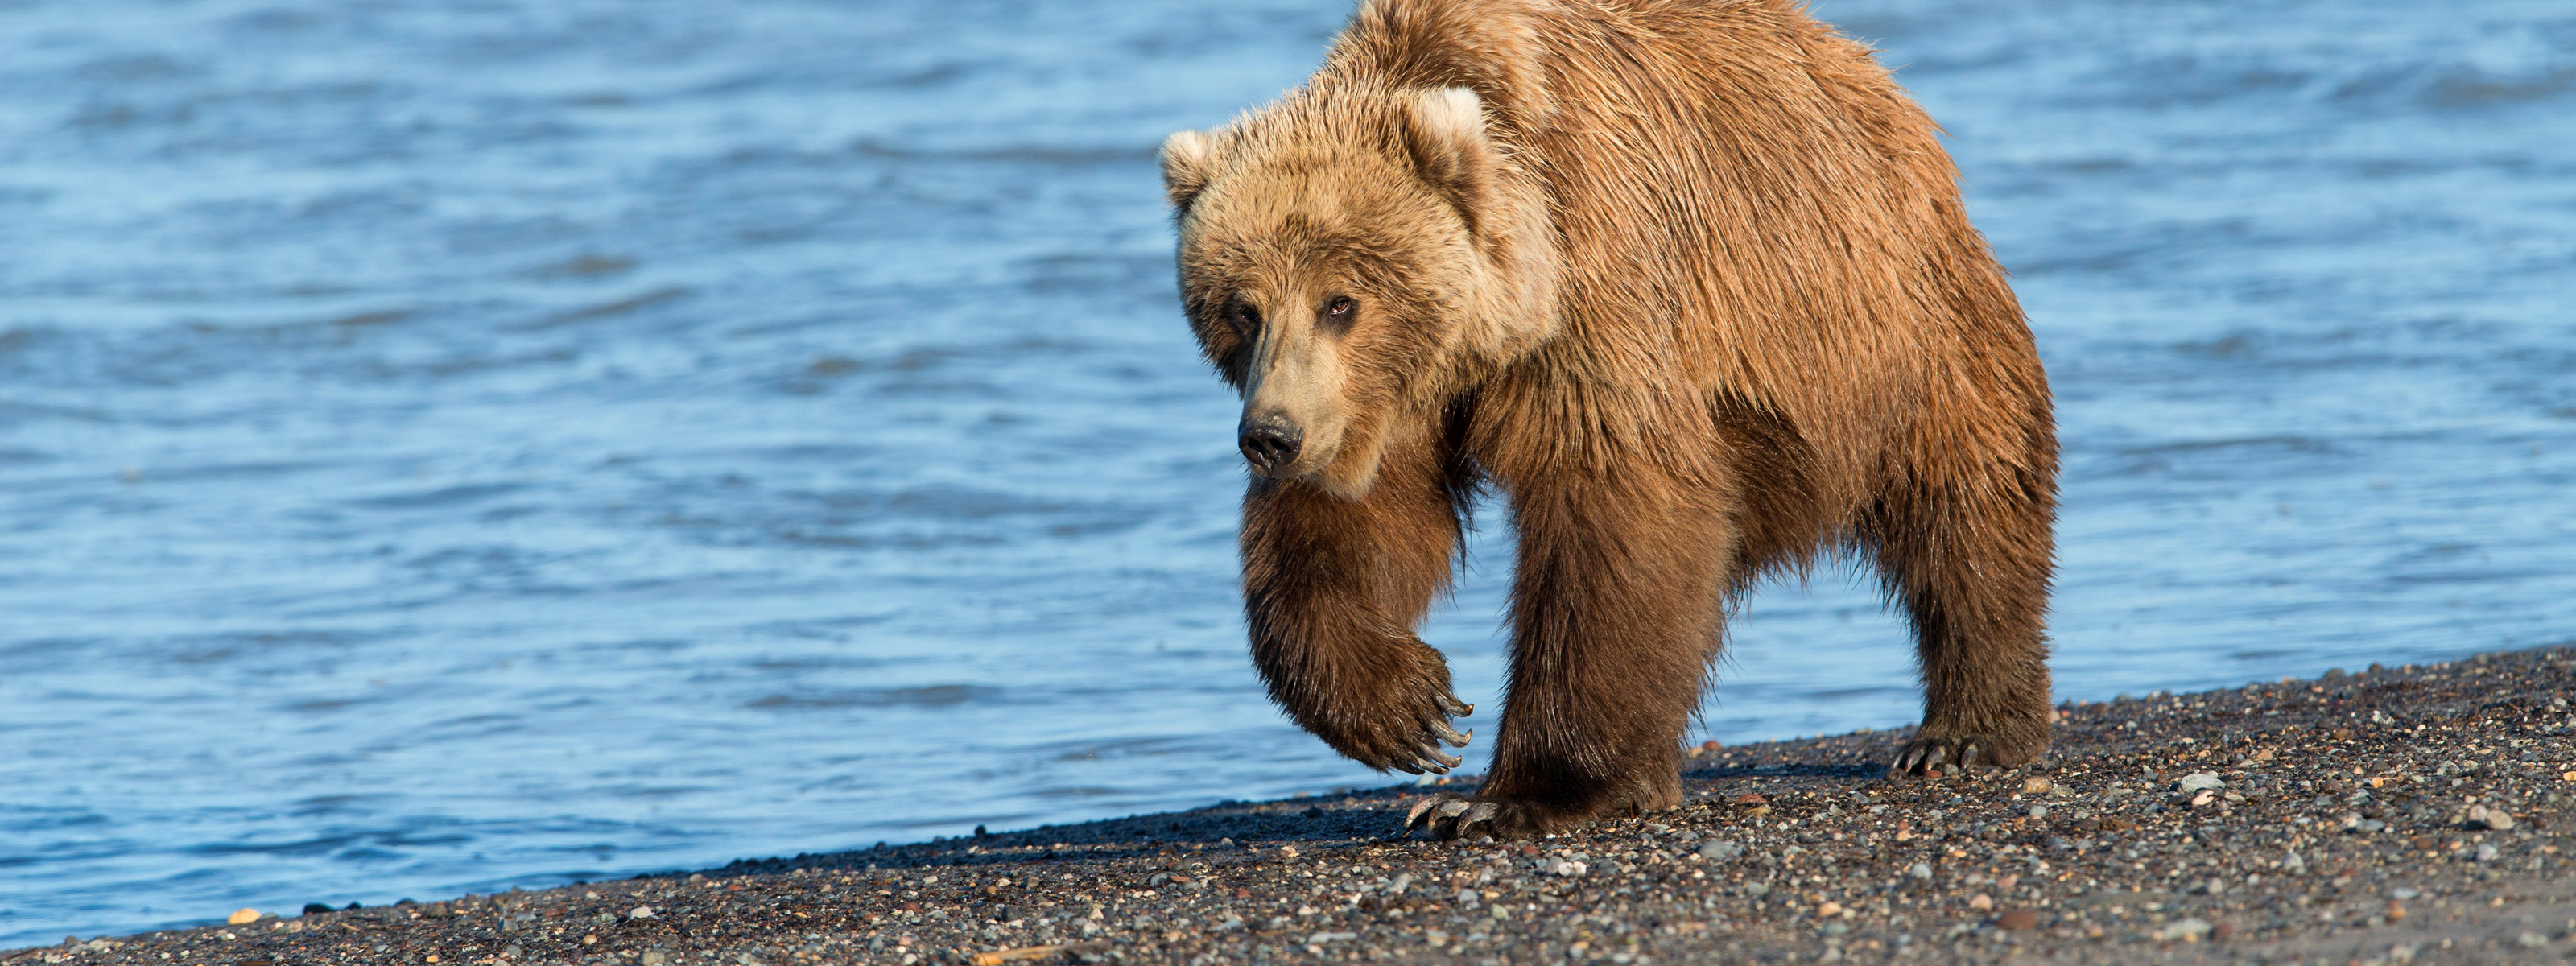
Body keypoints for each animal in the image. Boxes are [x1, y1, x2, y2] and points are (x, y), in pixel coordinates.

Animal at [1159, 0, 2061, 840]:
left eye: (1340, 301)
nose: (1269, 436)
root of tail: (1879, 85)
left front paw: (1513, 796)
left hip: (1891, 325)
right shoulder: (1384, 401)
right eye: (1241, 308)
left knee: (1966, 501)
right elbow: (1354, 521)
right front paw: (1410, 710)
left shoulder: (1602, 286)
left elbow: (1617, 513)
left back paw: (1963, 731)